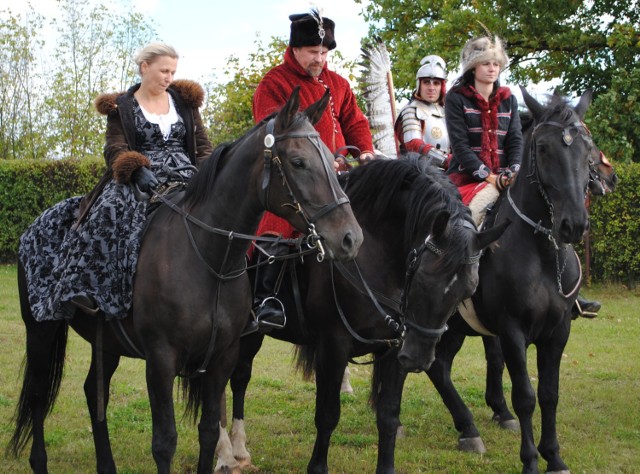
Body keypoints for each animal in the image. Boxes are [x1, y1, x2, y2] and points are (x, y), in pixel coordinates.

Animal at [10, 89, 362, 474]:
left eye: (332, 159)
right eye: (298, 162)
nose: (350, 238)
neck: (207, 258)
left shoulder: (223, 355)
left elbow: (208, 431)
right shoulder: (161, 360)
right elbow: (165, 442)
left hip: (107, 344)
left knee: (93, 391)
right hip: (40, 332)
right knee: (39, 395)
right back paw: (39, 460)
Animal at [215, 157, 510, 474]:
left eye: (468, 289)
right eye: (423, 278)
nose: (417, 359)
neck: (372, 253)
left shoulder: (394, 349)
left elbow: (389, 415)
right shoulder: (332, 347)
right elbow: (328, 414)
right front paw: (317, 467)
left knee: (240, 377)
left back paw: (239, 450)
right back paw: (225, 454)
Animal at [424, 89, 600, 474]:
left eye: (588, 148)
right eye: (544, 148)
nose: (574, 225)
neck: (541, 252)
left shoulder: (558, 331)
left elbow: (549, 394)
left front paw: (554, 457)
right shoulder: (512, 330)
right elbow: (525, 396)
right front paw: (531, 460)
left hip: (454, 325)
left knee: (439, 366)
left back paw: (468, 428)